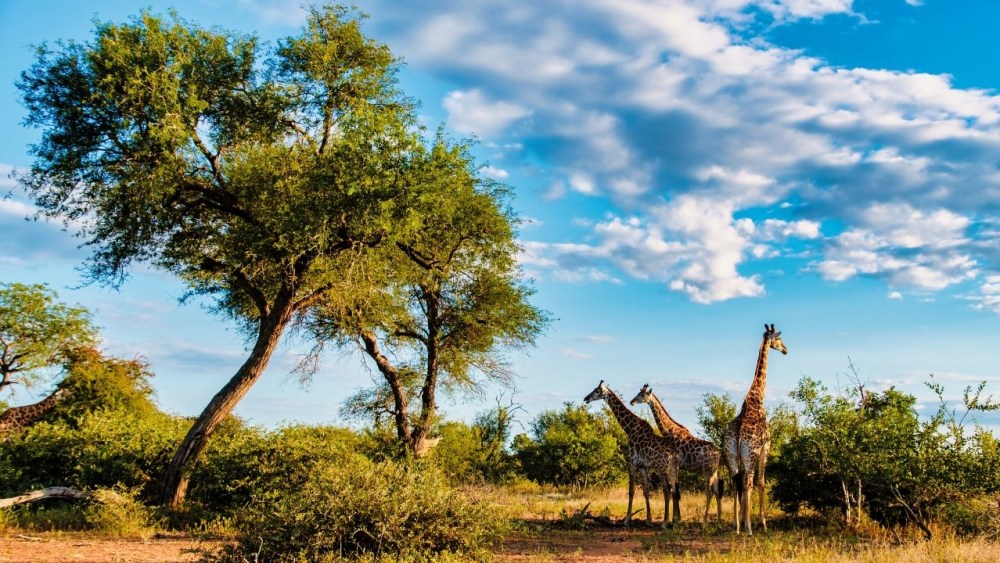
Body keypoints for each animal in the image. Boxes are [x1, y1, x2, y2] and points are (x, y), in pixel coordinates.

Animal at [584, 380, 680, 528]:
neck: (629, 429)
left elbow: (631, 490)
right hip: (673, 469)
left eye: (596, 391)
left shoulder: (631, 462)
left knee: (667, 490)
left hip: (662, 468)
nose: (586, 399)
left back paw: (664, 523)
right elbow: (646, 491)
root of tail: (674, 454)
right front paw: (648, 520)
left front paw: (626, 520)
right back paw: (674, 522)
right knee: (674, 490)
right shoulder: (642, 466)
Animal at [630, 384, 723, 524]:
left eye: (642, 394)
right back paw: (718, 519)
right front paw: (677, 518)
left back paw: (705, 521)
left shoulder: (676, 464)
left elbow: (675, 490)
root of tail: (718, 453)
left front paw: (675, 519)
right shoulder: (677, 466)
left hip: (707, 471)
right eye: (638, 392)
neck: (669, 431)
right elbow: (676, 490)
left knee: (709, 492)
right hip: (714, 471)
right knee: (717, 491)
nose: (632, 402)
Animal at [724, 324, 787, 535]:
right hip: (750, 454)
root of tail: (736, 436)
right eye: (779, 339)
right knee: (748, 483)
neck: (757, 397)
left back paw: (736, 526)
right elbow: (762, 482)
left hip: (732, 455)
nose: (785, 350)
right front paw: (762, 523)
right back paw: (749, 528)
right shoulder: (765, 448)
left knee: (736, 482)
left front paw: (743, 520)